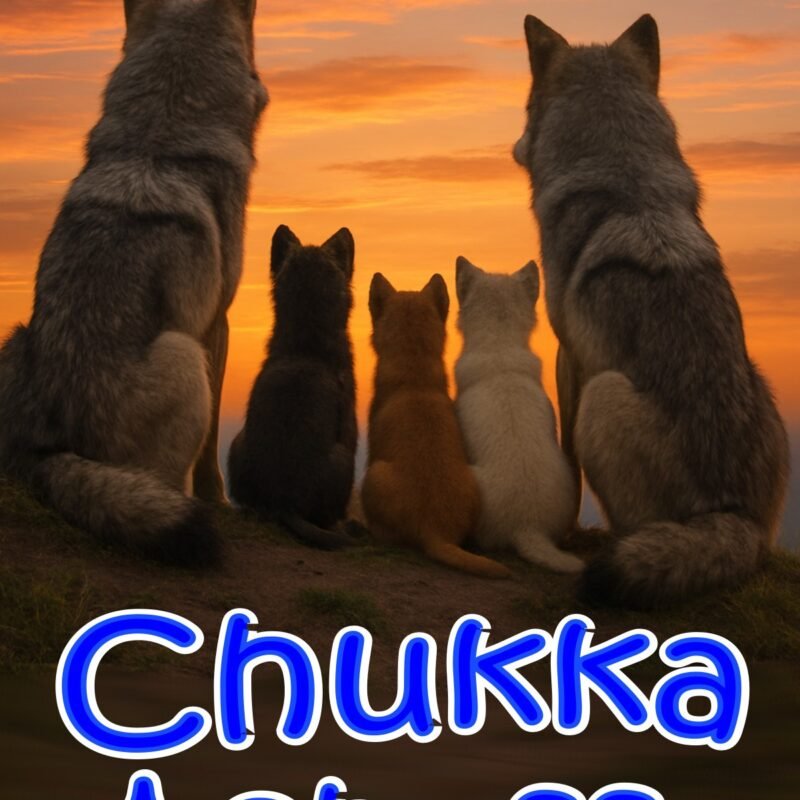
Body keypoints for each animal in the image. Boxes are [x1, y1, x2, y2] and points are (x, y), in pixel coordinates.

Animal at [0, 0, 268, 564]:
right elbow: (211, 453)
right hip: (182, 354)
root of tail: (45, 451)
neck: (158, 141)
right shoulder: (217, 325)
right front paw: (222, 502)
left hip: (15, 337)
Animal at [513, 14, 789, 607]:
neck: (627, 177)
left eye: (526, 105)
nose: (514, 147)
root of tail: (735, 517)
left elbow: (566, 459)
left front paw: (566, 531)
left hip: (604, 393)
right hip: (766, 389)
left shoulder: (570, 356)